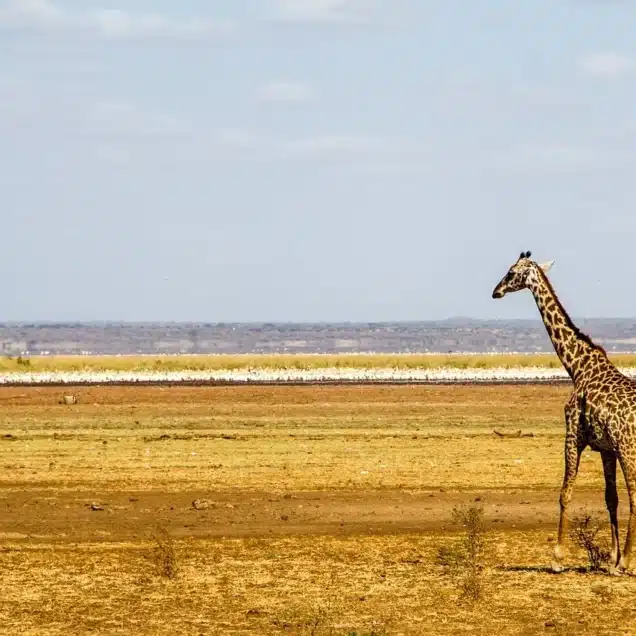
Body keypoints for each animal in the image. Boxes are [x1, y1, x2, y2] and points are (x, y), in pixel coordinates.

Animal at [494, 251, 636, 572]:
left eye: (511, 272)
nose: (496, 291)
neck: (576, 366)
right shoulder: (606, 448)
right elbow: (611, 498)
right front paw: (611, 557)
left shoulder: (573, 436)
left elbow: (564, 494)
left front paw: (557, 557)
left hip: (629, 448)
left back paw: (627, 562)